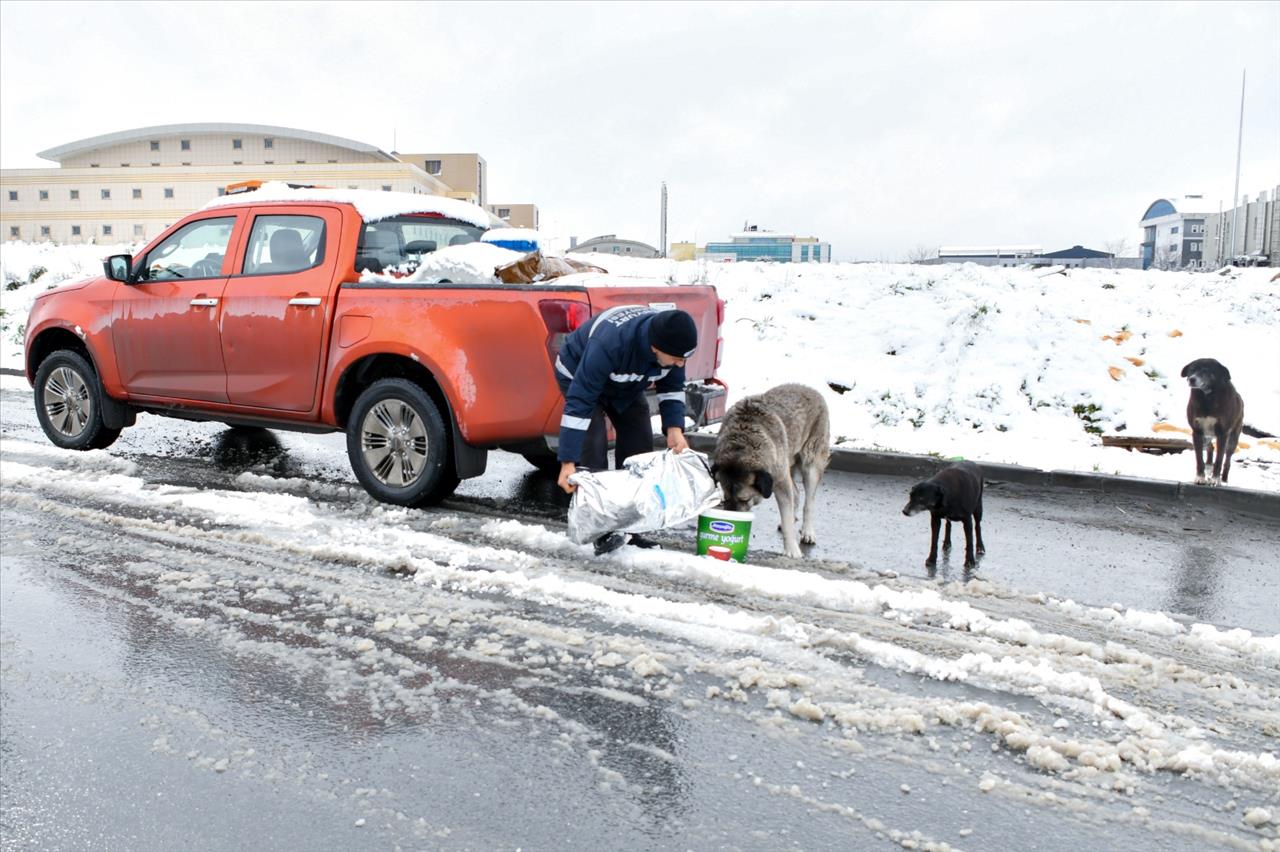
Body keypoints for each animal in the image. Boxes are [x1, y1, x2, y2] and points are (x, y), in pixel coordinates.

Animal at [1182, 355, 1244, 483]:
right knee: (1210, 448)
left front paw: (1215, 479)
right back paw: (1209, 466)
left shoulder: (1222, 434)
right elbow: (1199, 458)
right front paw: (1200, 477)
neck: (1207, 398)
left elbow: (1219, 459)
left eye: (1206, 370)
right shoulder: (1197, 432)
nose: (1191, 379)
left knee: (1227, 459)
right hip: (1206, 436)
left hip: (1233, 439)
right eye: (1192, 369)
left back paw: (1224, 479)